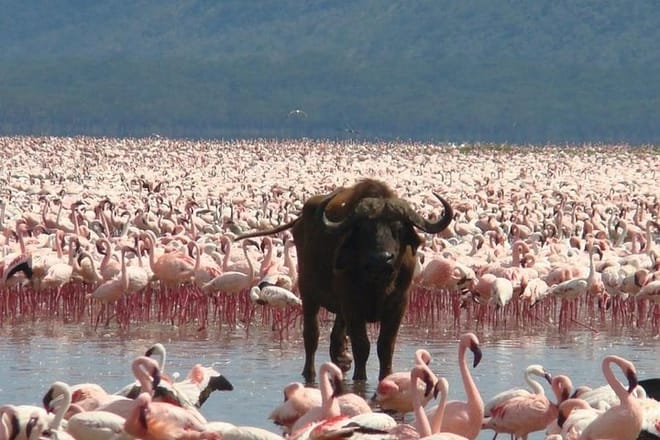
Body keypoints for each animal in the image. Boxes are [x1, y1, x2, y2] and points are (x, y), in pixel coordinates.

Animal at [236, 178, 453, 381]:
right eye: (364, 229)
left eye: (398, 228)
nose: (382, 259)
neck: (377, 283)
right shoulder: (351, 303)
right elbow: (362, 346)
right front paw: (360, 379)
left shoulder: (399, 303)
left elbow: (385, 346)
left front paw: (385, 377)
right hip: (308, 294)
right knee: (311, 336)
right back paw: (310, 372)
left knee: (336, 337)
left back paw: (341, 360)